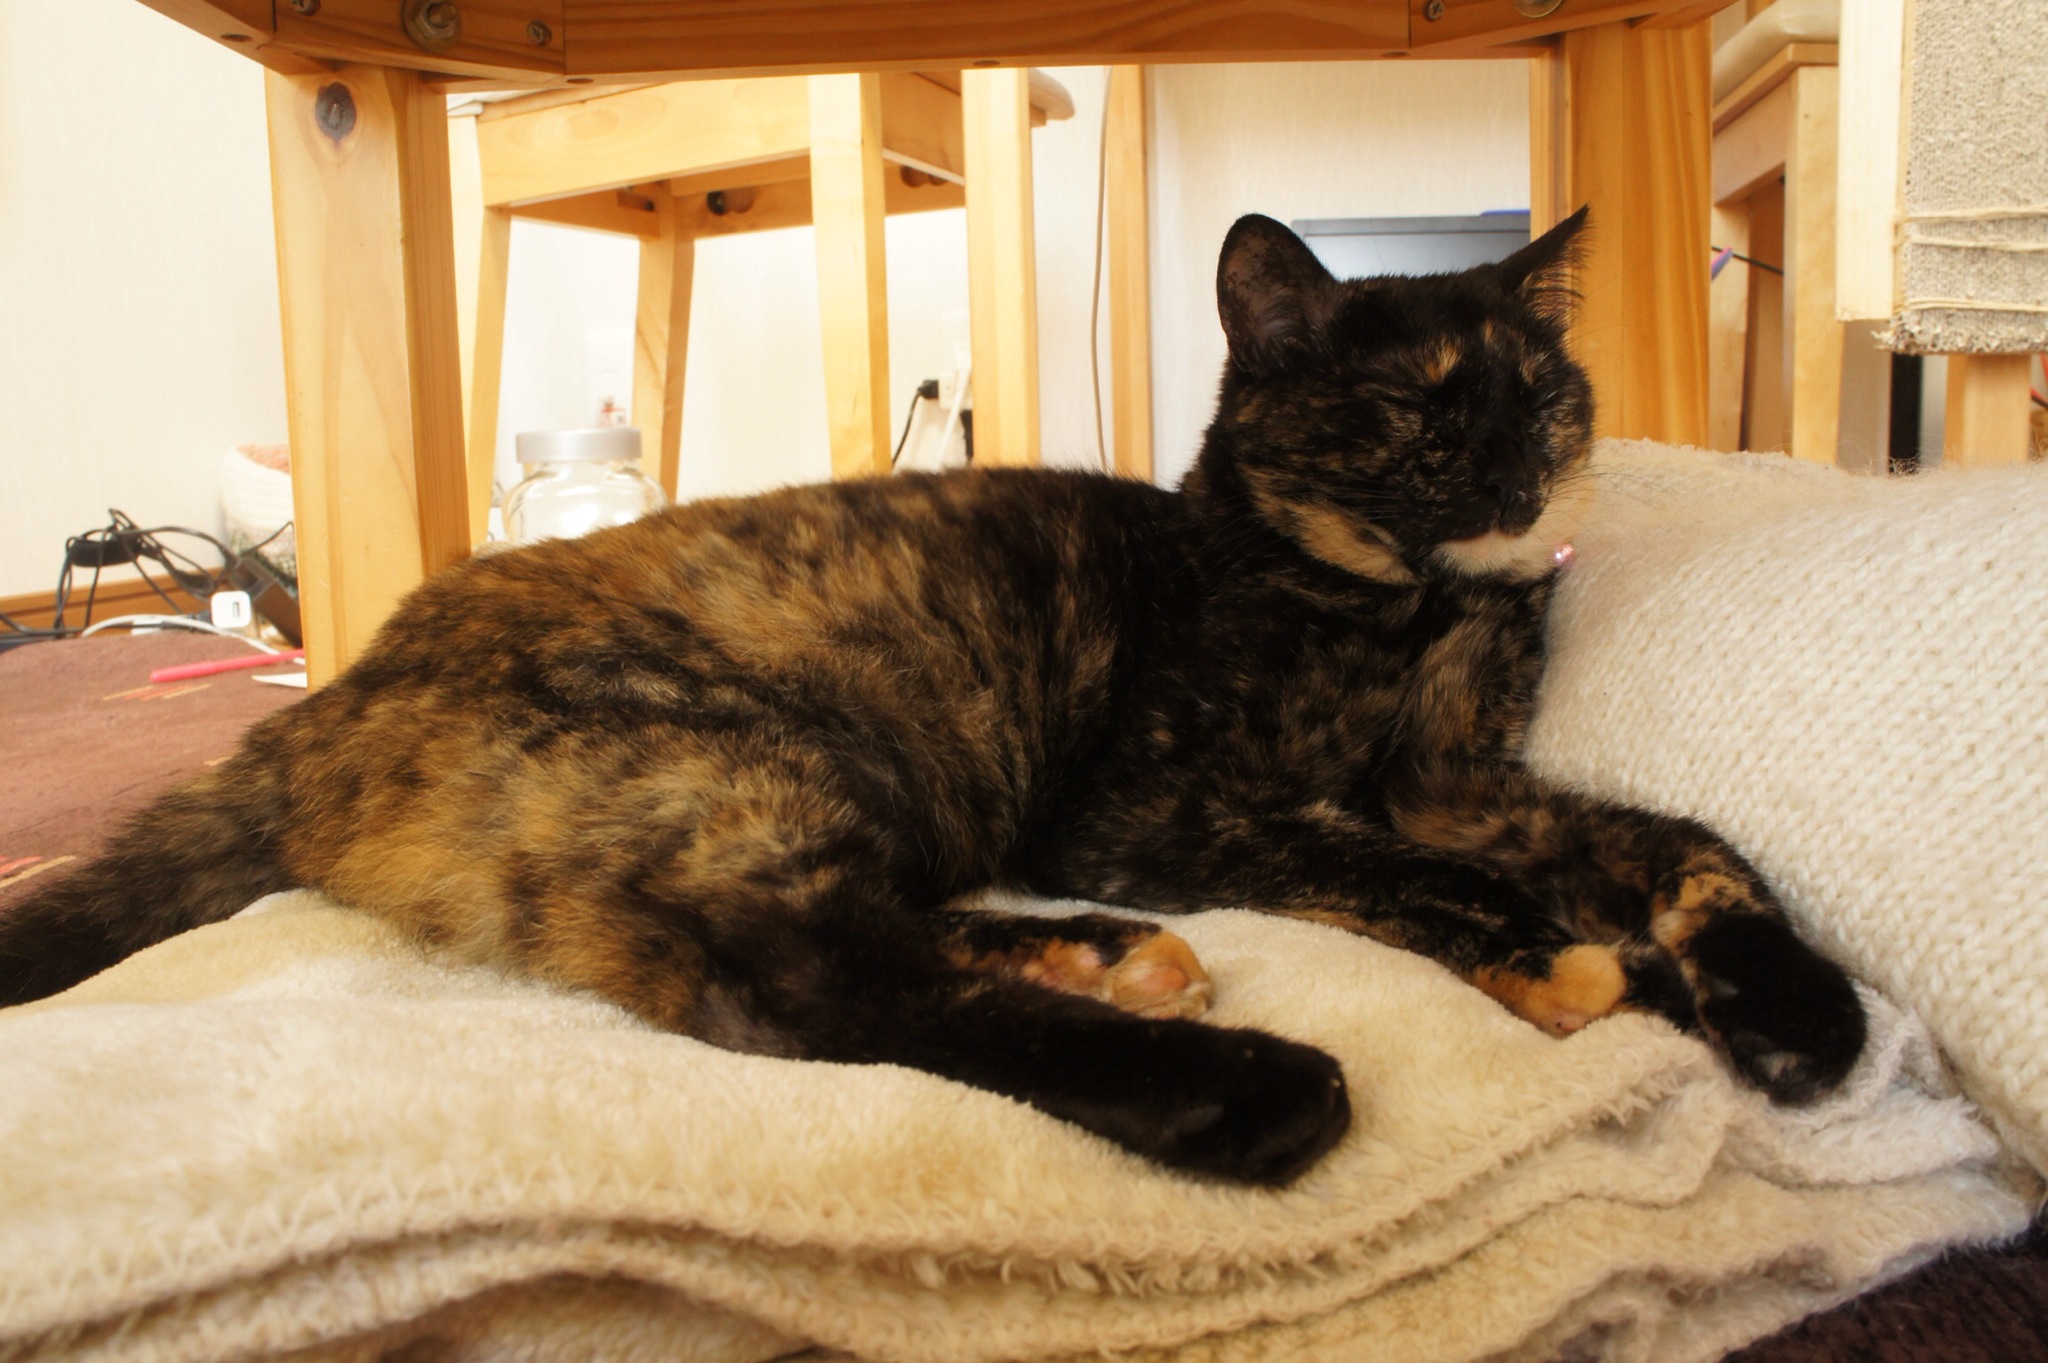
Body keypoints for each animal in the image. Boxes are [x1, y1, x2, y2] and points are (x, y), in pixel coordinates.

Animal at [0, 209, 1865, 1185]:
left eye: (1545, 391)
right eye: (1418, 407)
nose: (1518, 473)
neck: (1407, 617)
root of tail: (329, 697)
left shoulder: (1459, 782)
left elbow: (1681, 839)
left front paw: (1792, 1005)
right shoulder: (1164, 810)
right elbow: (1397, 867)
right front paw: (1559, 958)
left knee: (869, 942)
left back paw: (1112, 960)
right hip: (737, 756)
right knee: (796, 982)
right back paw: (1243, 1084)